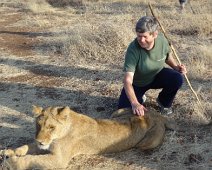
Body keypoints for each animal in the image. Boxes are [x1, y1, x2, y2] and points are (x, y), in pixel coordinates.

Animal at [0, 105, 177, 169]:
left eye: (51, 127)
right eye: (38, 125)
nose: (40, 140)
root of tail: (158, 115)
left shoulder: (59, 159)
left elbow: (33, 159)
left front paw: (13, 161)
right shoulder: (44, 145)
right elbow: (28, 146)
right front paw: (11, 151)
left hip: (147, 143)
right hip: (118, 111)